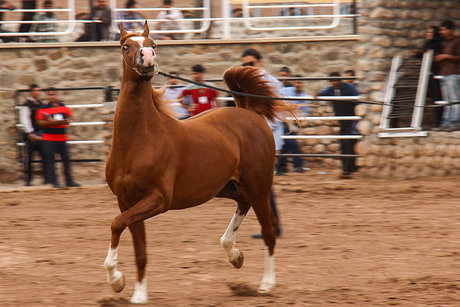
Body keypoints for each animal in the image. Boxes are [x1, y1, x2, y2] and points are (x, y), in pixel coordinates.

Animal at [105, 22, 294, 306]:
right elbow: (139, 249)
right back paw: (234, 254)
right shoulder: (127, 200)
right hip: (225, 187)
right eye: (126, 45)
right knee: (243, 203)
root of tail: (250, 113)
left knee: (269, 229)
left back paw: (266, 284)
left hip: (258, 185)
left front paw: (116, 280)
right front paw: (136, 293)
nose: (148, 58)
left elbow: (117, 224)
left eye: (153, 43)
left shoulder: (159, 199)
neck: (138, 140)